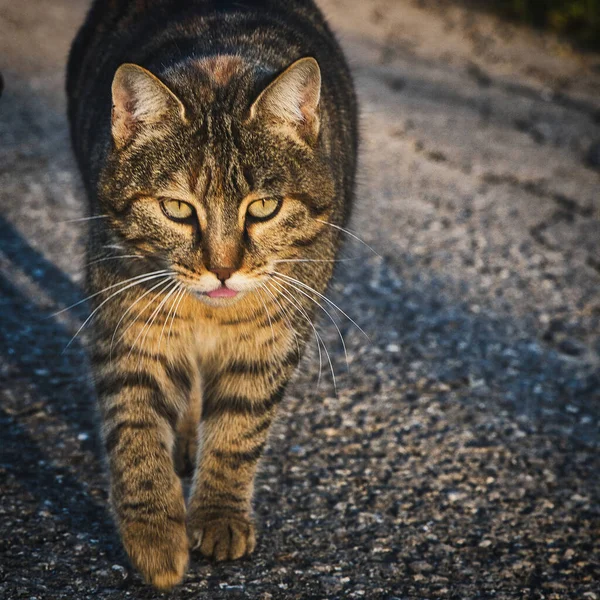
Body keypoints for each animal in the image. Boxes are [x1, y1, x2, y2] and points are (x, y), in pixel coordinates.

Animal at [67, 0, 356, 592]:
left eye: (264, 207)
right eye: (178, 209)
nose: (222, 269)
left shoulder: (271, 338)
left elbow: (240, 428)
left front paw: (220, 515)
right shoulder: (129, 325)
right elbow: (135, 427)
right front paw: (155, 536)